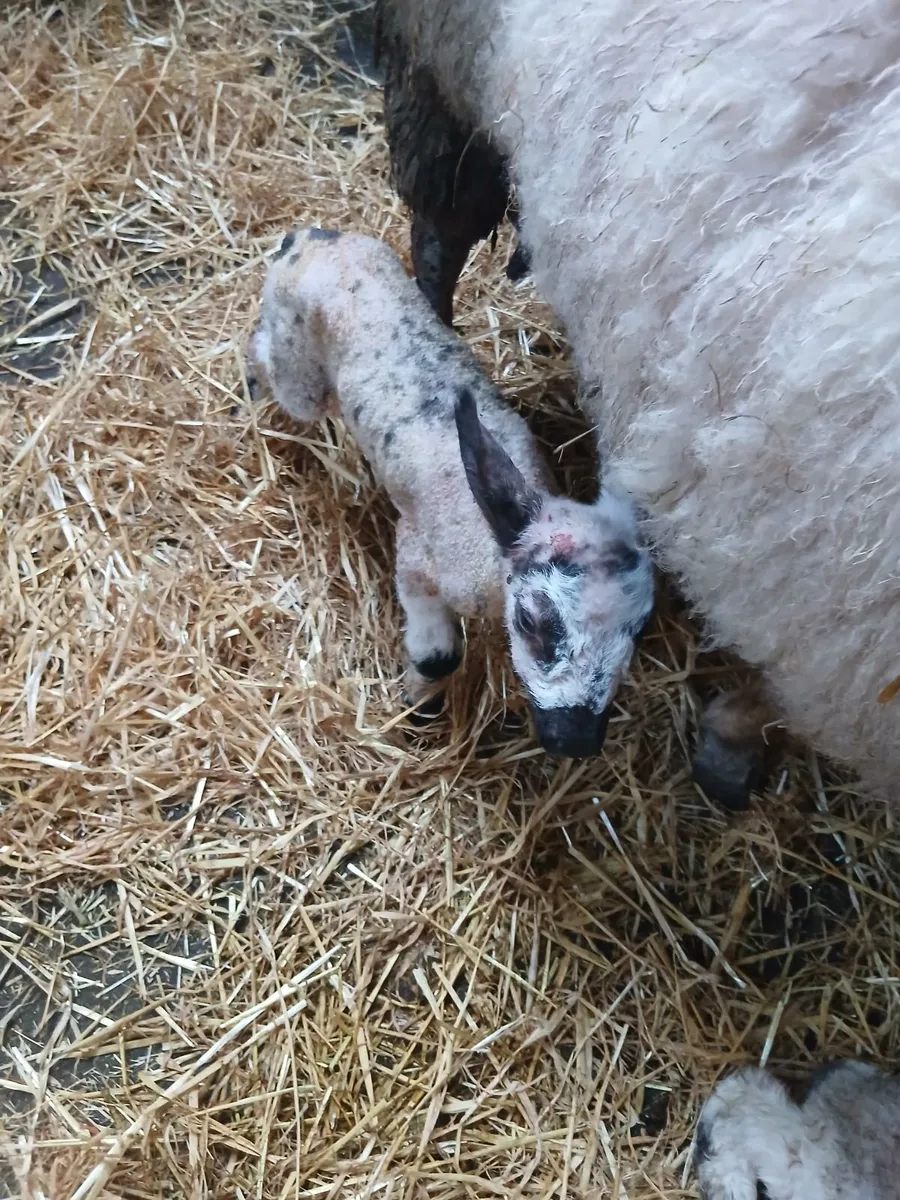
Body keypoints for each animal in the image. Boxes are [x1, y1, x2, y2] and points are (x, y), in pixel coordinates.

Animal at [245, 227, 654, 757]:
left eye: (639, 630)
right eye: (530, 621)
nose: (576, 740)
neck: (490, 555)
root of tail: (313, 238)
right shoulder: (416, 560)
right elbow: (437, 655)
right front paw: (417, 705)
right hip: (300, 373)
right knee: (265, 353)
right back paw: (250, 385)